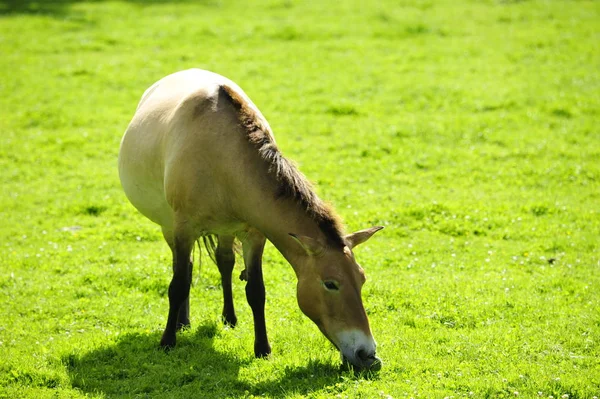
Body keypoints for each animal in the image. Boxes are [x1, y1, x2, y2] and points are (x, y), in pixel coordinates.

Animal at [118, 69, 384, 372]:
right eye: (330, 283)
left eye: (362, 280)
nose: (368, 355)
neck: (222, 156)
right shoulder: (184, 229)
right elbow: (178, 284)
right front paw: (167, 341)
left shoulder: (254, 234)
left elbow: (256, 290)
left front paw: (263, 349)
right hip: (169, 226)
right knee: (184, 267)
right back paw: (182, 323)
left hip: (224, 230)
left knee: (224, 261)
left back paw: (229, 318)